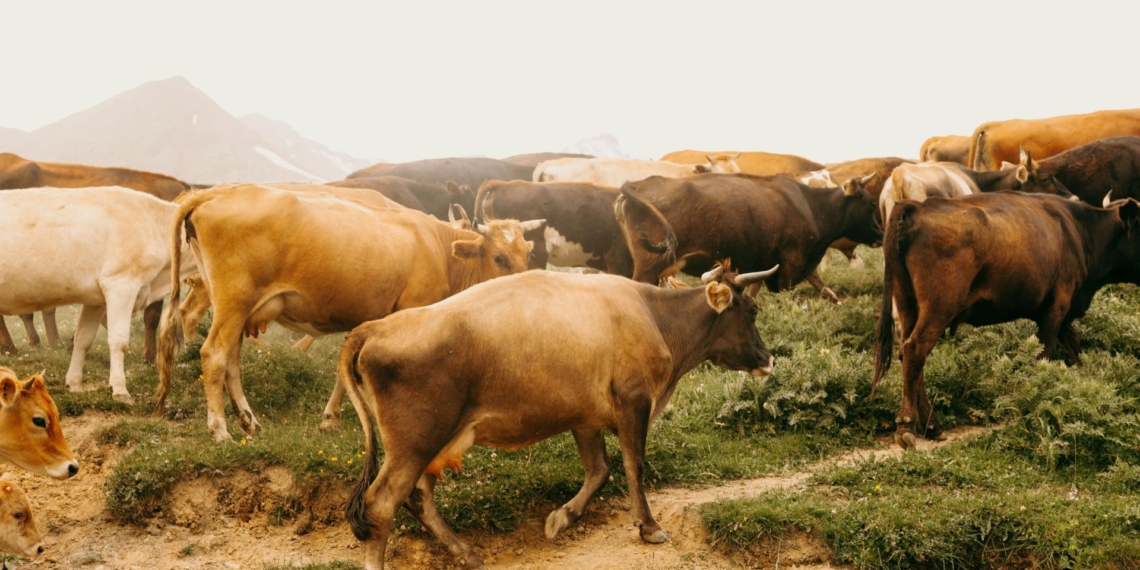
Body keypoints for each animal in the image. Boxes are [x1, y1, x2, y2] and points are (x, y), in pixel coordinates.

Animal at [0, 187, 195, 405]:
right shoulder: (121, 285)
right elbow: (118, 341)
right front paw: (120, 390)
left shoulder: (96, 300)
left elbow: (83, 338)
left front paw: (74, 384)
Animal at [155, 184, 545, 442]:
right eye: (498, 257)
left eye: (527, 251)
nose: (528, 291)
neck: (438, 246)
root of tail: (214, 192)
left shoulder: (364, 317)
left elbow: (345, 369)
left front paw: (331, 417)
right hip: (233, 301)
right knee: (214, 354)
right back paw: (220, 430)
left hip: (237, 307)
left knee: (231, 359)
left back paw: (249, 420)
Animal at [339, 262, 778, 570]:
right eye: (753, 310)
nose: (769, 359)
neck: (654, 316)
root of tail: (373, 328)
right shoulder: (634, 402)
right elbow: (633, 465)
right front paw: (649, 526)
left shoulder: (585, 417)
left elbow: (600, 470)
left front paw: (561, 518)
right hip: (415, 442)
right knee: (381, 505)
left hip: (434, 444)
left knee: (418, 498)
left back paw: (467, 553)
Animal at [614, 174, 881, 302]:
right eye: (869, 204)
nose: (880, 233)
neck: (812, 207)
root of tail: (637, 185)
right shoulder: (790, 265)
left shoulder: (769, 265)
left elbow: (827, 291)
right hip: (649, 266)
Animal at [873, 193, 1140, 450]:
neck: (1079, 230)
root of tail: (917, 207)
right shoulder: (1057, 306)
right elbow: (1044, 354)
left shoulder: (1061, 312)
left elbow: (1074, 347)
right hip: (938, 309)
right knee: (915, 350)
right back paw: (907, 427)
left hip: (908, 306)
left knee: (908, 355)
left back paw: (932, 426)